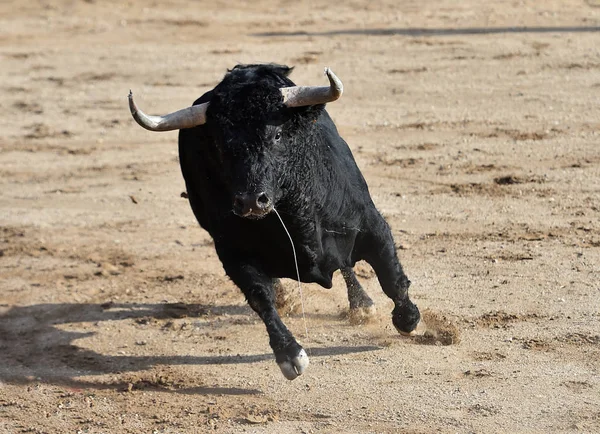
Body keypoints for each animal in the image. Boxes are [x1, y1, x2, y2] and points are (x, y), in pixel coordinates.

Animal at [129, 63, 420, 380]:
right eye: (219, 146)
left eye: (278, 135)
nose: (250, 201)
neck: (297, 220)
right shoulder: (233, 255)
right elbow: (260, 298)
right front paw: (289, 354)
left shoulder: (372, 226)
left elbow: (391, 278)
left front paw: (408, 319)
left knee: (348, 267)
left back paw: (362, 305)